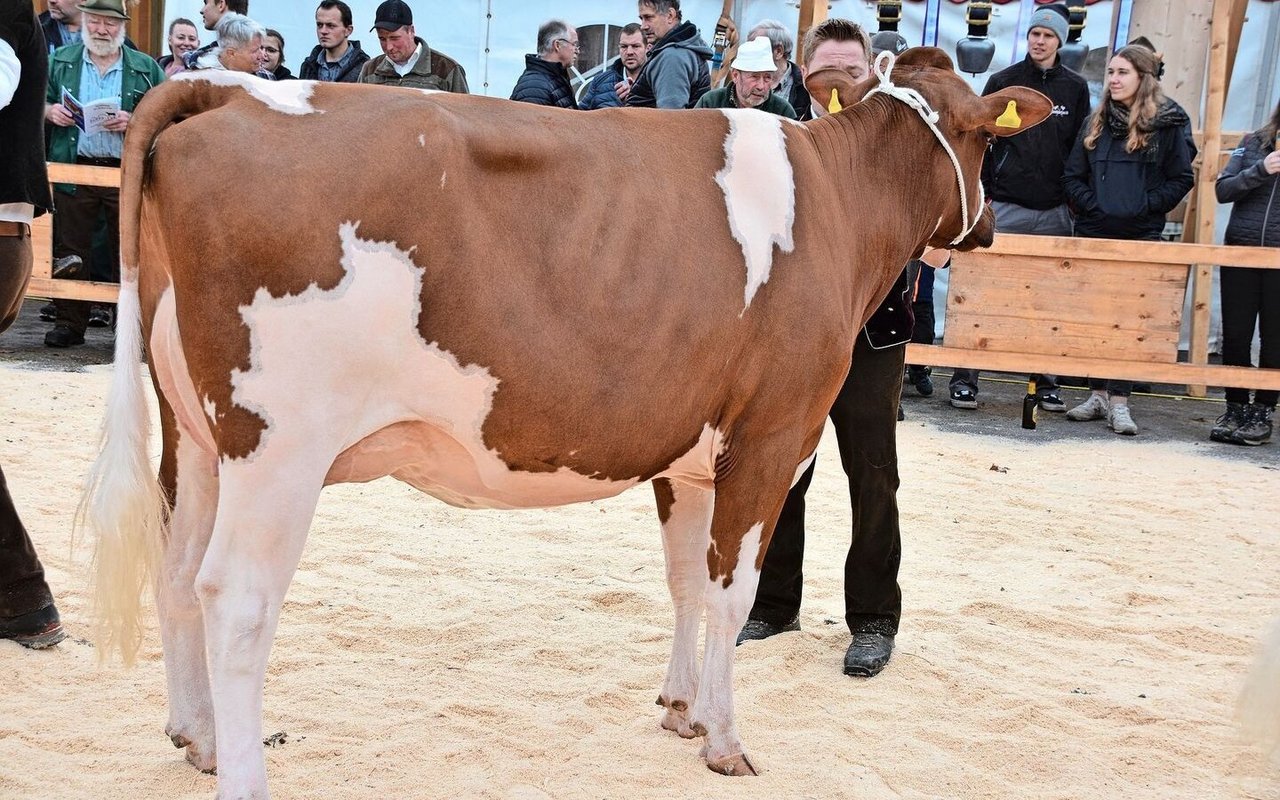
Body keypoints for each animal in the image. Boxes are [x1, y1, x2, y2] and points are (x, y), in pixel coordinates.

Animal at [85, 46, 1049, 793]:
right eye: (983, 137)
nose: (989, 231)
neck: (840, 204)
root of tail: (227, 90)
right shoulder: (775, 436)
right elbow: (730, 593)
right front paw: (726, 740)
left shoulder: (689, 453)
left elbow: (685, 582)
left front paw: (679, 711)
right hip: (278, 445)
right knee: (235, 599)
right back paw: (244, 771)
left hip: (196, 437)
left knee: (176, 575)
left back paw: (199, 741)